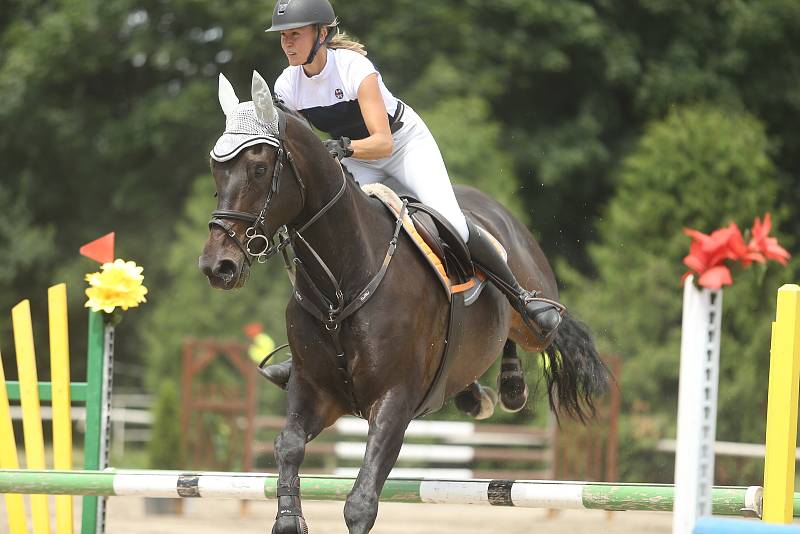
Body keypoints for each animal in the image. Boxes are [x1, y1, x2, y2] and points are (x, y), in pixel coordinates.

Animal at [198, 74, 608, 534]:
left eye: (259, 168)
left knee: (538, 324)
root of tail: (495, 210)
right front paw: (289, 519)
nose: (218, 266)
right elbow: (288, 444)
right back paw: (485, 392)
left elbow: (360, 502)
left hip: (533, 315)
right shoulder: (316, 392)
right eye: (216, 169)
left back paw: (517, 373)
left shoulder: (394, 401)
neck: (342, 281)